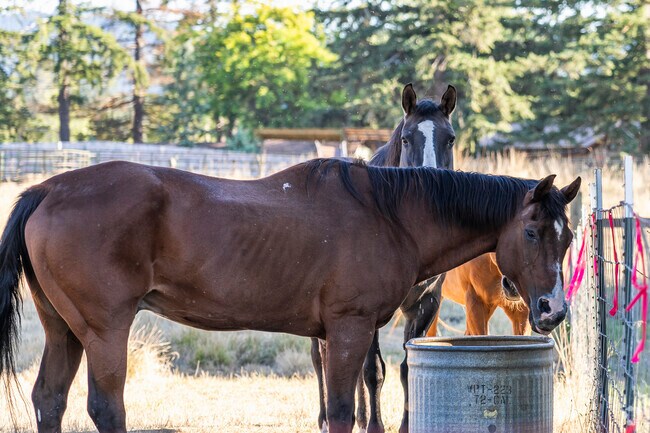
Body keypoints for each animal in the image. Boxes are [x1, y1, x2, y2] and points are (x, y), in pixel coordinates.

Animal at [0, 158, 580, 433]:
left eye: (569, 236)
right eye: (533, 232)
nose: (552, 311)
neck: (389, 214)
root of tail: (46, 190)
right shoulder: (348, 329)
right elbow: (343, 411)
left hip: (64, 329)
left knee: (49, 401)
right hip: (103, 330)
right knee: (106, 407)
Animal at [310, 82, 457, 433]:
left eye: (450, 138)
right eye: (406, 138)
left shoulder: (426, 304)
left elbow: (407, 367)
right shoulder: (368, 308)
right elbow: (373, 370)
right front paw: (376, 426)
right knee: (321, 358)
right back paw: (325, 418)